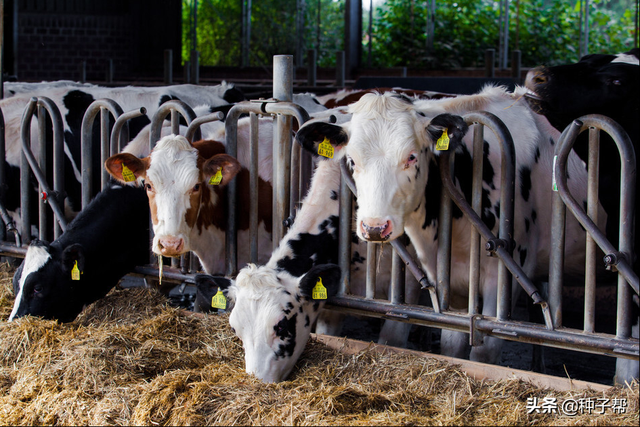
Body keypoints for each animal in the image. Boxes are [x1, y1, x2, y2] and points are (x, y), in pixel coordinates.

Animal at [296, 86, 604, 368]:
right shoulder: (448, 280)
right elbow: (451, 343)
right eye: (352, 160)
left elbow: (485, 352)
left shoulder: (506, 277)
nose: (374, 227)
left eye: (411, 157)